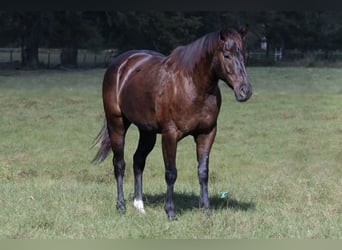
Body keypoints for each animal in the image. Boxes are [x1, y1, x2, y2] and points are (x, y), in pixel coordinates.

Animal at [92, 23, 252, 219]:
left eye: (245, 55)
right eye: (227, 55)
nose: (245, 91)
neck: (192, 86)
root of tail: (120, 64)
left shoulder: (207, 133)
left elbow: (203, 172)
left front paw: (206, 209)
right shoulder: (170, 135)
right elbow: (171, 173)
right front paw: (170, 212)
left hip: (147, 132)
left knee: (138, 161)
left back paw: (140, 206)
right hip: (117, 125)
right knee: (119, 164)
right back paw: (121, 206)